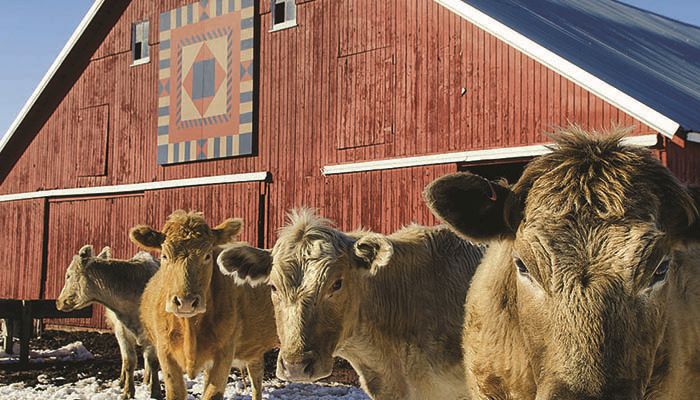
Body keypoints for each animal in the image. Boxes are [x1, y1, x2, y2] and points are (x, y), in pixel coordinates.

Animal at [55, 245, 162, 398]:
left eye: (68, 275)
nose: (58, 302)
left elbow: (153, 362)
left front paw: (156, 392)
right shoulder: (122, 332)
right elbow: (129, 361)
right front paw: (127, 392)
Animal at [130, 211, 278, 398]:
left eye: (207, 256)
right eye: (164, 256)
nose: (186, 302)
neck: (190, 328)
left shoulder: (224, 353)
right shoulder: (165, 352)